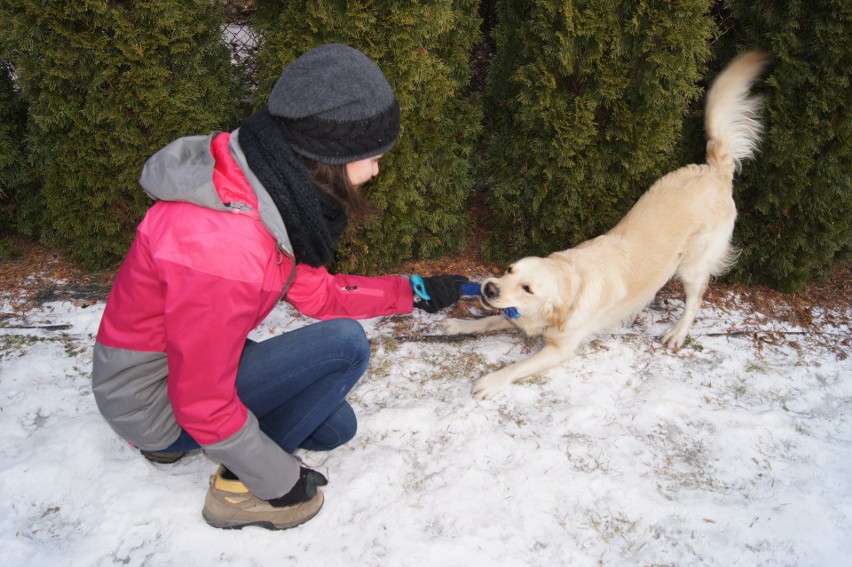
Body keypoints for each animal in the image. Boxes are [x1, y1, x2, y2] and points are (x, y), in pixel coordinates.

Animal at [442, 52, 768, 400]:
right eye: (509, 270)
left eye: (528, 288)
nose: (489, 287)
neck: (573, 282)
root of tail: (715, 170)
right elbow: (490, 321)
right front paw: (459, 326)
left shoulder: (560, 347)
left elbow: (517, 366)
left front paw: (491, 381)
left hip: (693, 265)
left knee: (697, 297)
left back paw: (677, 333)